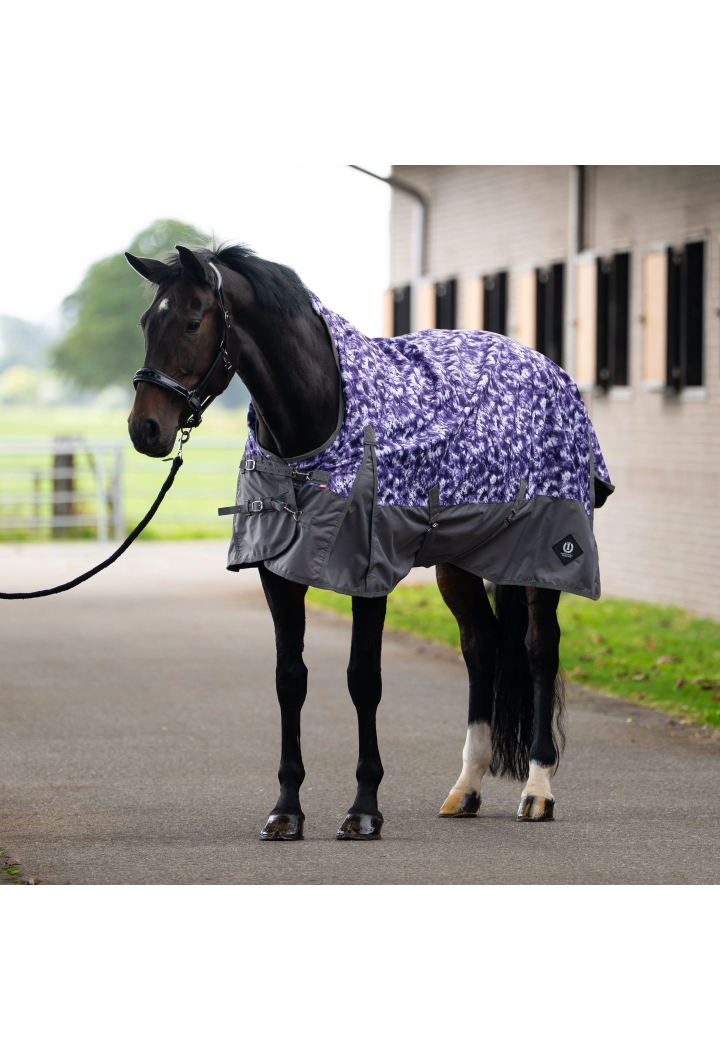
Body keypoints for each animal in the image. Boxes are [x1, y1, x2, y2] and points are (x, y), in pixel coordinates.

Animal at [125, 243, 613, 840]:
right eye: (147, 322)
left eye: (193, 322)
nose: (145, 429)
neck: (320, 425)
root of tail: (544, 366)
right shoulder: (275, 572)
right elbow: (290, 680)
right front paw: (286, 810)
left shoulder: (368, 571)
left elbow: (364, 680)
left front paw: (363, 810)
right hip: (461, 559)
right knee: (482, 646)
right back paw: (466, 788)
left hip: (544, 554)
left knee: (540, 648)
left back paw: (538, 789)